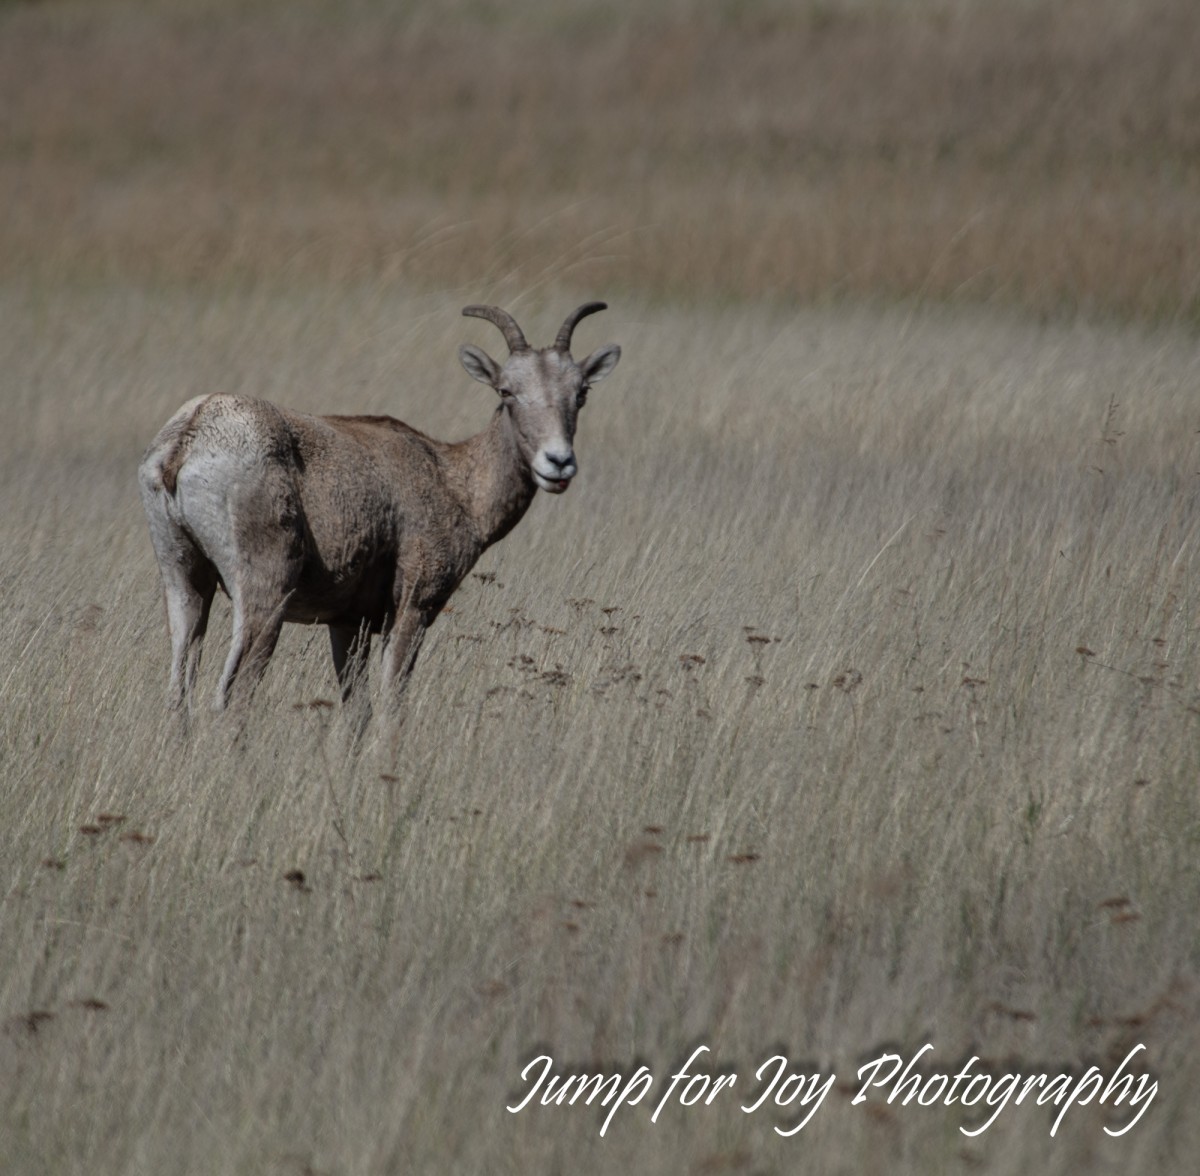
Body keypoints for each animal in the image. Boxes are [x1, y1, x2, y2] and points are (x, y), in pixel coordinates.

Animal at [137, 301, 621, 725]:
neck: (453, 479)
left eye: (581, 392)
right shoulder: (411, 609)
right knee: (231, 697)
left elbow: (359, 714)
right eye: (507, 390)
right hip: (262, 599)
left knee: (179, 697)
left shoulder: (347, 625)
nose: (558, 463)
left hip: (185, 584)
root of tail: (187, 437)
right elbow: (391, 708)